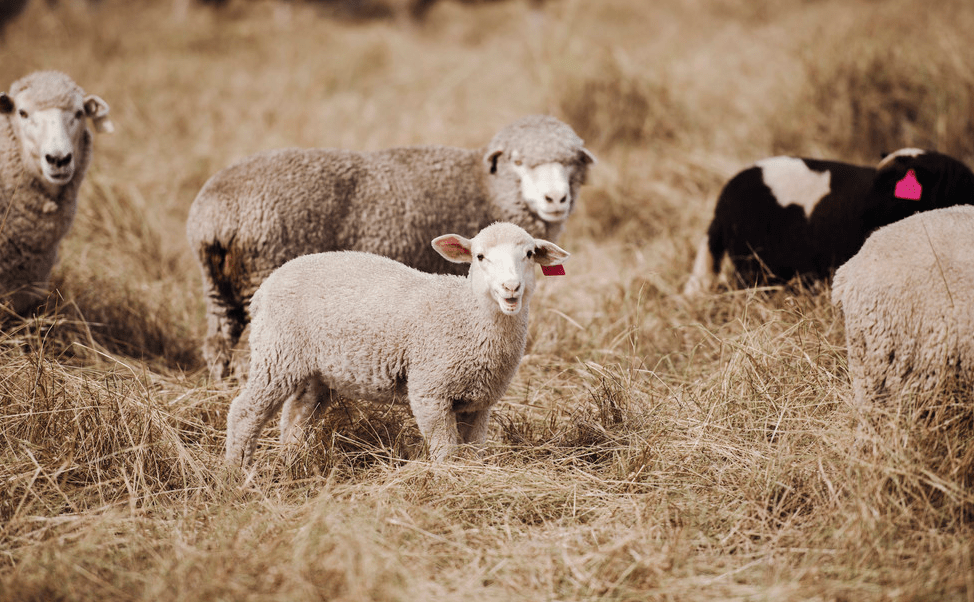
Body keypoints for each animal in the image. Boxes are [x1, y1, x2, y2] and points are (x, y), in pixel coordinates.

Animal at [185, 111, 596, 380]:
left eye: (572, 162)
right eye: (518, 161)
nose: (556, 199)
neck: (485, 188)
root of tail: (216, 213)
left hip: (217, 287)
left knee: (217, 346)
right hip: (264, 275)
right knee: (246, 356)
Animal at [224, 220, 568, 464]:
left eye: (529, 254)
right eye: (480, 257)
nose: (511, 288)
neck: (466, 314)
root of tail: (267, 285)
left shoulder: (479, 402)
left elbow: (473, 453)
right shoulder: (430, 391)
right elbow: (446, 453)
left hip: (314, 370)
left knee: (296, 417)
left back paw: (293, 466)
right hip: (276, 353)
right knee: (244, 413)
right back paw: (236, 475)